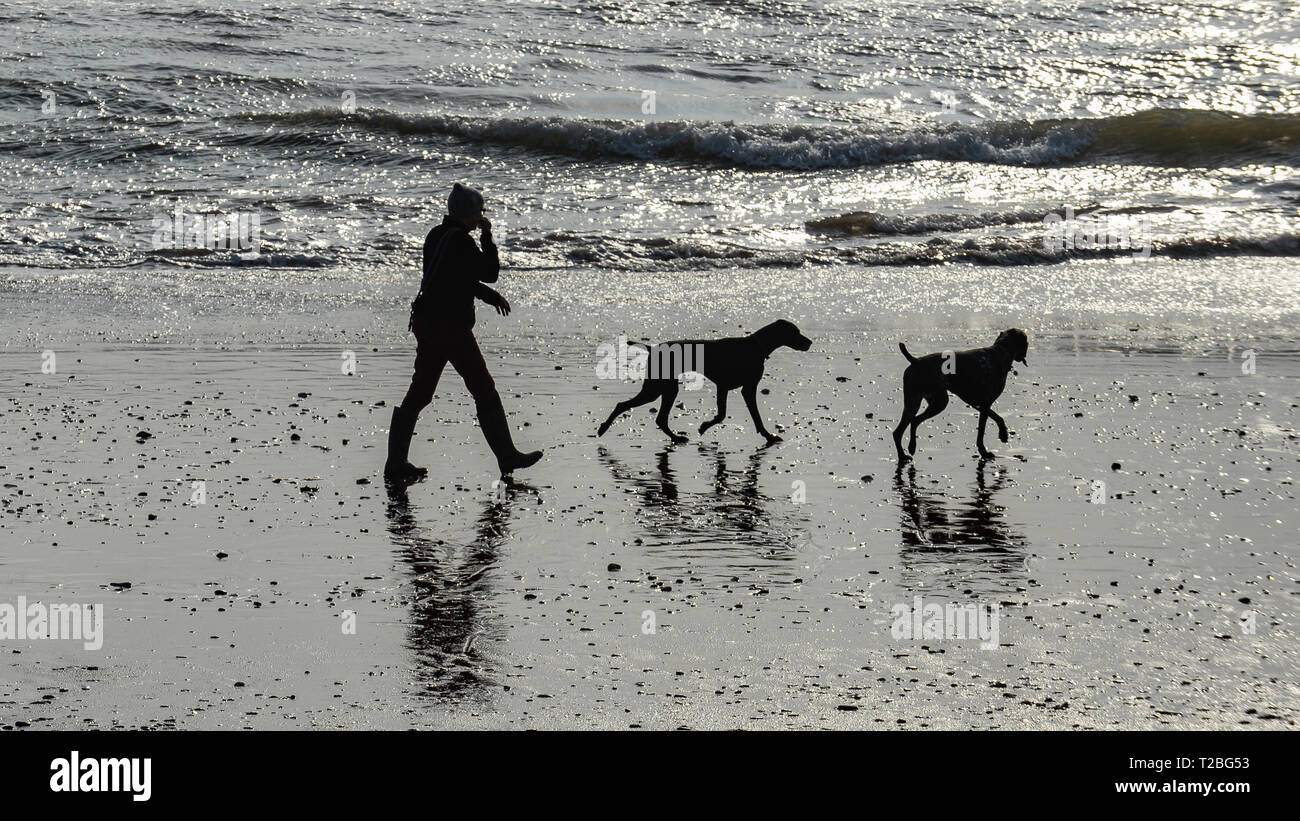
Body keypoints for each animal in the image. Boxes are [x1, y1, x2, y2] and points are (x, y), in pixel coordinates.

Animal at [889, 329, 1029, 465]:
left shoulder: (978, 404)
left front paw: (1003, 434)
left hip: (914, 402)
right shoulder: (984, 404)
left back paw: (906, 452)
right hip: (938, 402)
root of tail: (916, 361)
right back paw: (907, 451)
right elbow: (981, 432)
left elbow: (998, 417)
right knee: (911, 423)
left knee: (903, 428)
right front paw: (984, 452)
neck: (1001, 350)